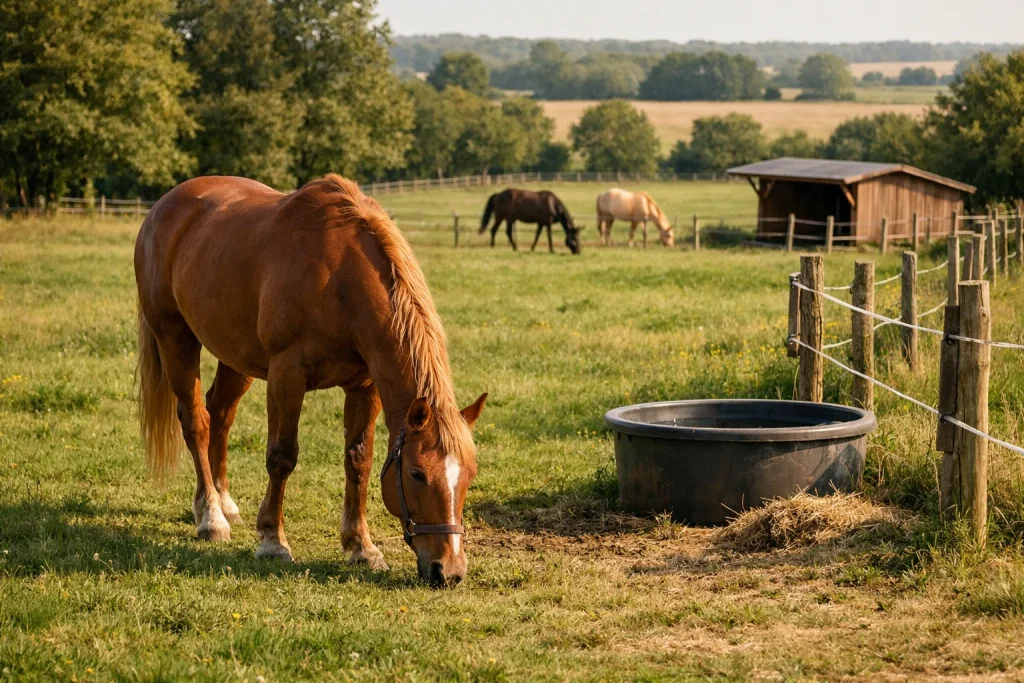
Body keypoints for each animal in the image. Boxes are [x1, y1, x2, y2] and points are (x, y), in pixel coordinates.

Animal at [134, 174, 487, 587]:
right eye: (417, 473)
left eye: (469, 475)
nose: (449, 571)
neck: (339, 277)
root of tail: (163, 207)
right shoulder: (287, 374)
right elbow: (282, 457)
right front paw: (273, 541)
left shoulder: (364, 386)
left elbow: (359, 461)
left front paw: (361, 547)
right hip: (175, 339)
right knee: (196, 422)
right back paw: (211, 517)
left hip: (235, 356)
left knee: (220, 415)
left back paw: (224, 502)